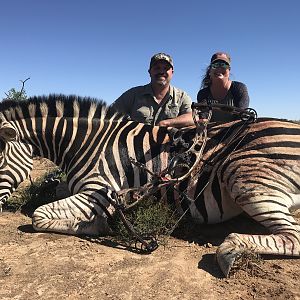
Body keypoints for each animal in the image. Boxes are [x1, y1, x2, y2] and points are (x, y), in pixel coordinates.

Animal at [0, 95, 298, 276]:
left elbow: (38, 215)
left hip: (243, 174)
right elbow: (53, 196)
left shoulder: (99, 192)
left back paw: (229, 251)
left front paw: (96, 225)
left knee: (292, 235)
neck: (87, 143)